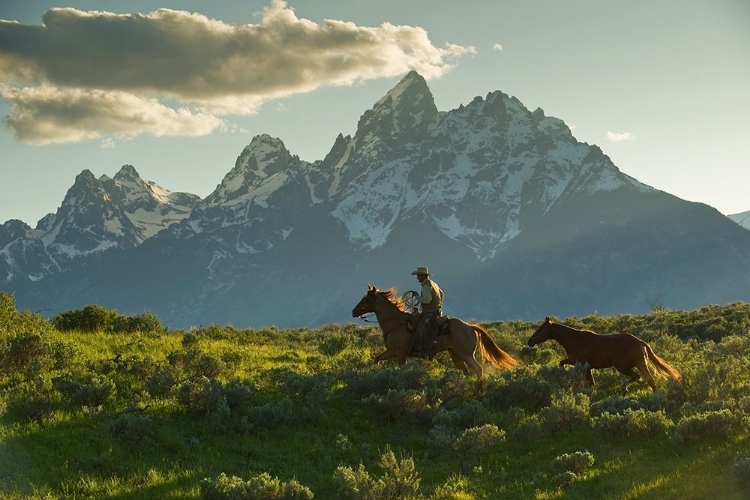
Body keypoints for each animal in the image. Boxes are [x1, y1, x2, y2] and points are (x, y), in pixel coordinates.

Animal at [352, 286, 516, 378]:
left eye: (367, 299)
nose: (353, 311)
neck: (396, 323)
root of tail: (470, 327)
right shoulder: (392, 351)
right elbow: (377, 359)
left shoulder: (401, 353)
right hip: (455, 354)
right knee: (467, 371)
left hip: (466, 354)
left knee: (478, 369)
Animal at [528, 318, 680, 392]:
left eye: (541, 329)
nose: (530, 342)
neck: (574, 340)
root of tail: (640, 342)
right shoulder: (586, 366)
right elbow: (591, 383)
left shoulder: (578, 362)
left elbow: (562, 364)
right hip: (640, 363)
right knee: (650, 380)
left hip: (623, 366)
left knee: (637, 377)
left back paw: (624, 389)